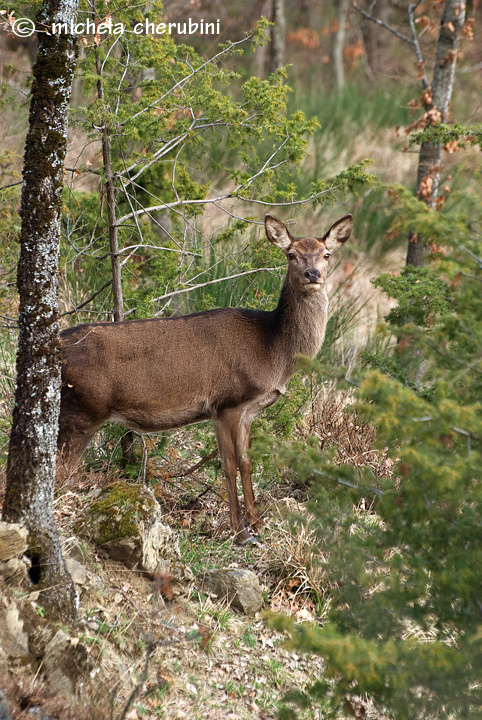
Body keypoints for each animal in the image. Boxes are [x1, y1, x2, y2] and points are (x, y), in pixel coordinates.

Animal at [59, 217, 354, 544]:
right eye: (291, 254)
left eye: (326, 254)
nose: (312, 273)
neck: (272, 349)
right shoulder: (226, 402)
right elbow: (228, 464)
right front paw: (241, 532)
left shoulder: (249, 411)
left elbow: (247, 463)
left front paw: (258, 524)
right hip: (82, 409)